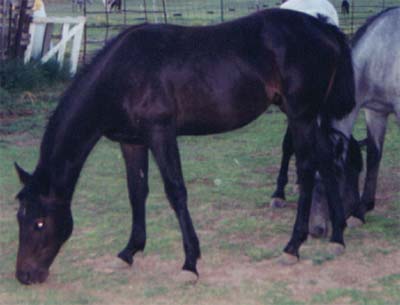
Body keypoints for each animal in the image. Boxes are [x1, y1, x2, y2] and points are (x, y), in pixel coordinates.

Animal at [14, 9, 356, 284]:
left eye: (39, 222)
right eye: (20, 217)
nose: (25, 276)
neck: (121, 74)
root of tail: (324, 29)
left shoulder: (161, 133)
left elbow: (175, 191)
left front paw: (190, 263)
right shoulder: (131, 143)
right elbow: (136, 192)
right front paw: (130, 250)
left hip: (300, 115)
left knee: (308, 169)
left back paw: (293, 246)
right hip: (307, 117)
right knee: (327, 161)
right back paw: (338, 235)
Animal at [270, 7, 400, 235]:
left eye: (329, 182)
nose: (316, 229)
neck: (381, 53)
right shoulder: (375, 111)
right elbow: (374, 156)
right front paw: (362, 211)